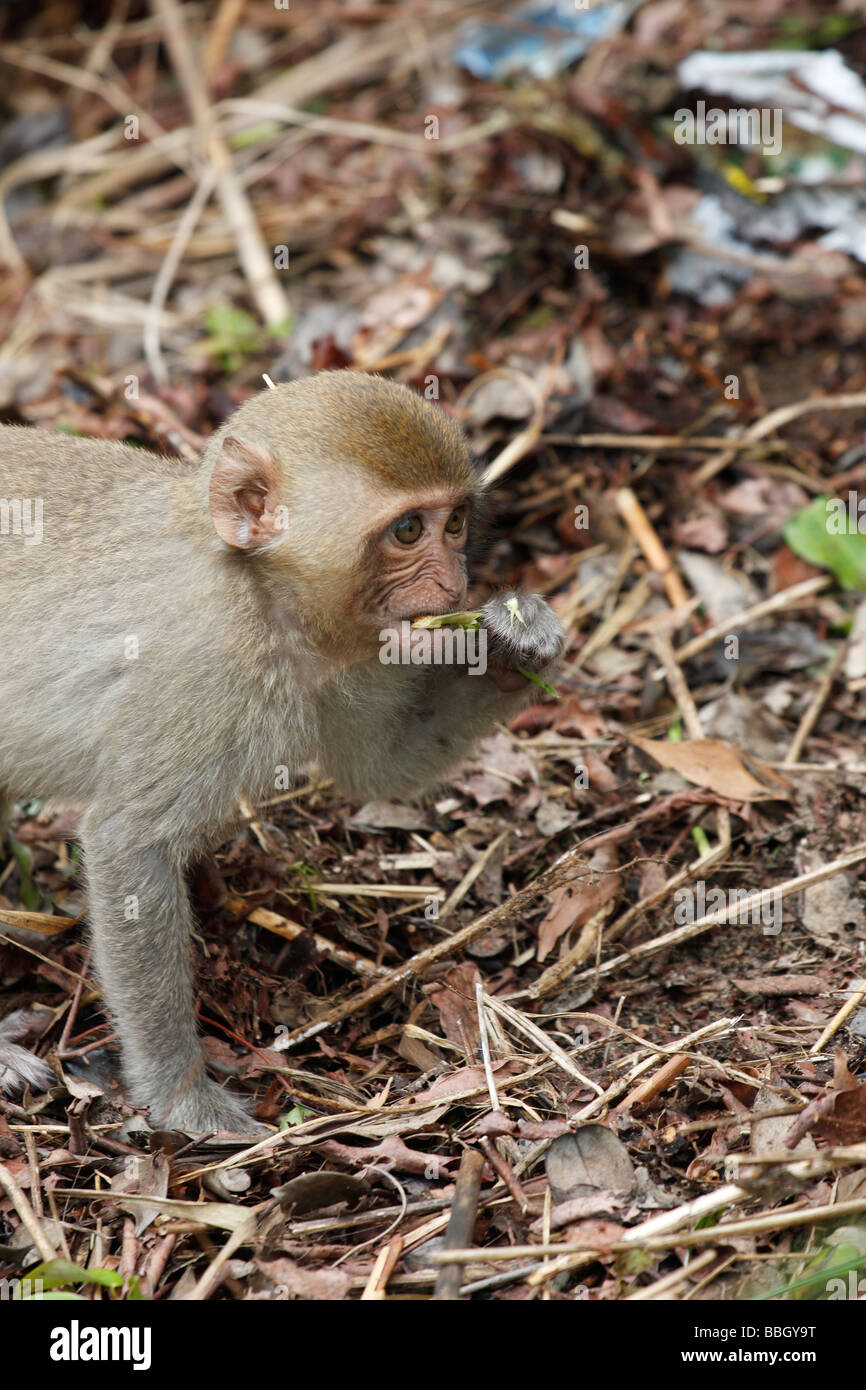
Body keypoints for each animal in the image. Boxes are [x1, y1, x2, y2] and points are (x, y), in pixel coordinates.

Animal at [0, 369, 561, 1128]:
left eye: (455, 524)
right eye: (407, 530)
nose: (454, 586)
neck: (262, 590)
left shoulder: (358, 654)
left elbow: (379, 767)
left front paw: (515, 640)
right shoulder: (205, 662)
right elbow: (129, 841)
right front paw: (179, 1092)